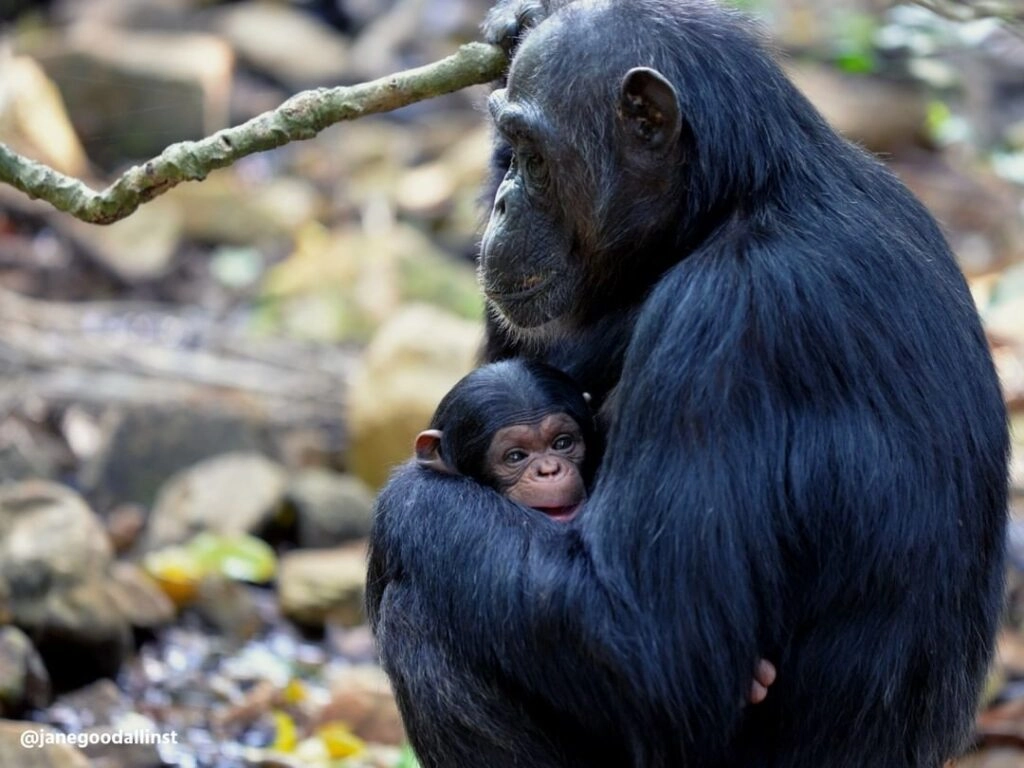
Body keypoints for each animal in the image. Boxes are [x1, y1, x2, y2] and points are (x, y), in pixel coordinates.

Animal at [366, 0, 1007, 765]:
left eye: (535, 155)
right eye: (509, 143)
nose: (504, 202)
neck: (733, 201)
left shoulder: (730, 323)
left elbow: (654, 647)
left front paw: (404, 496)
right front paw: (517, 25)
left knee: (421, 615)